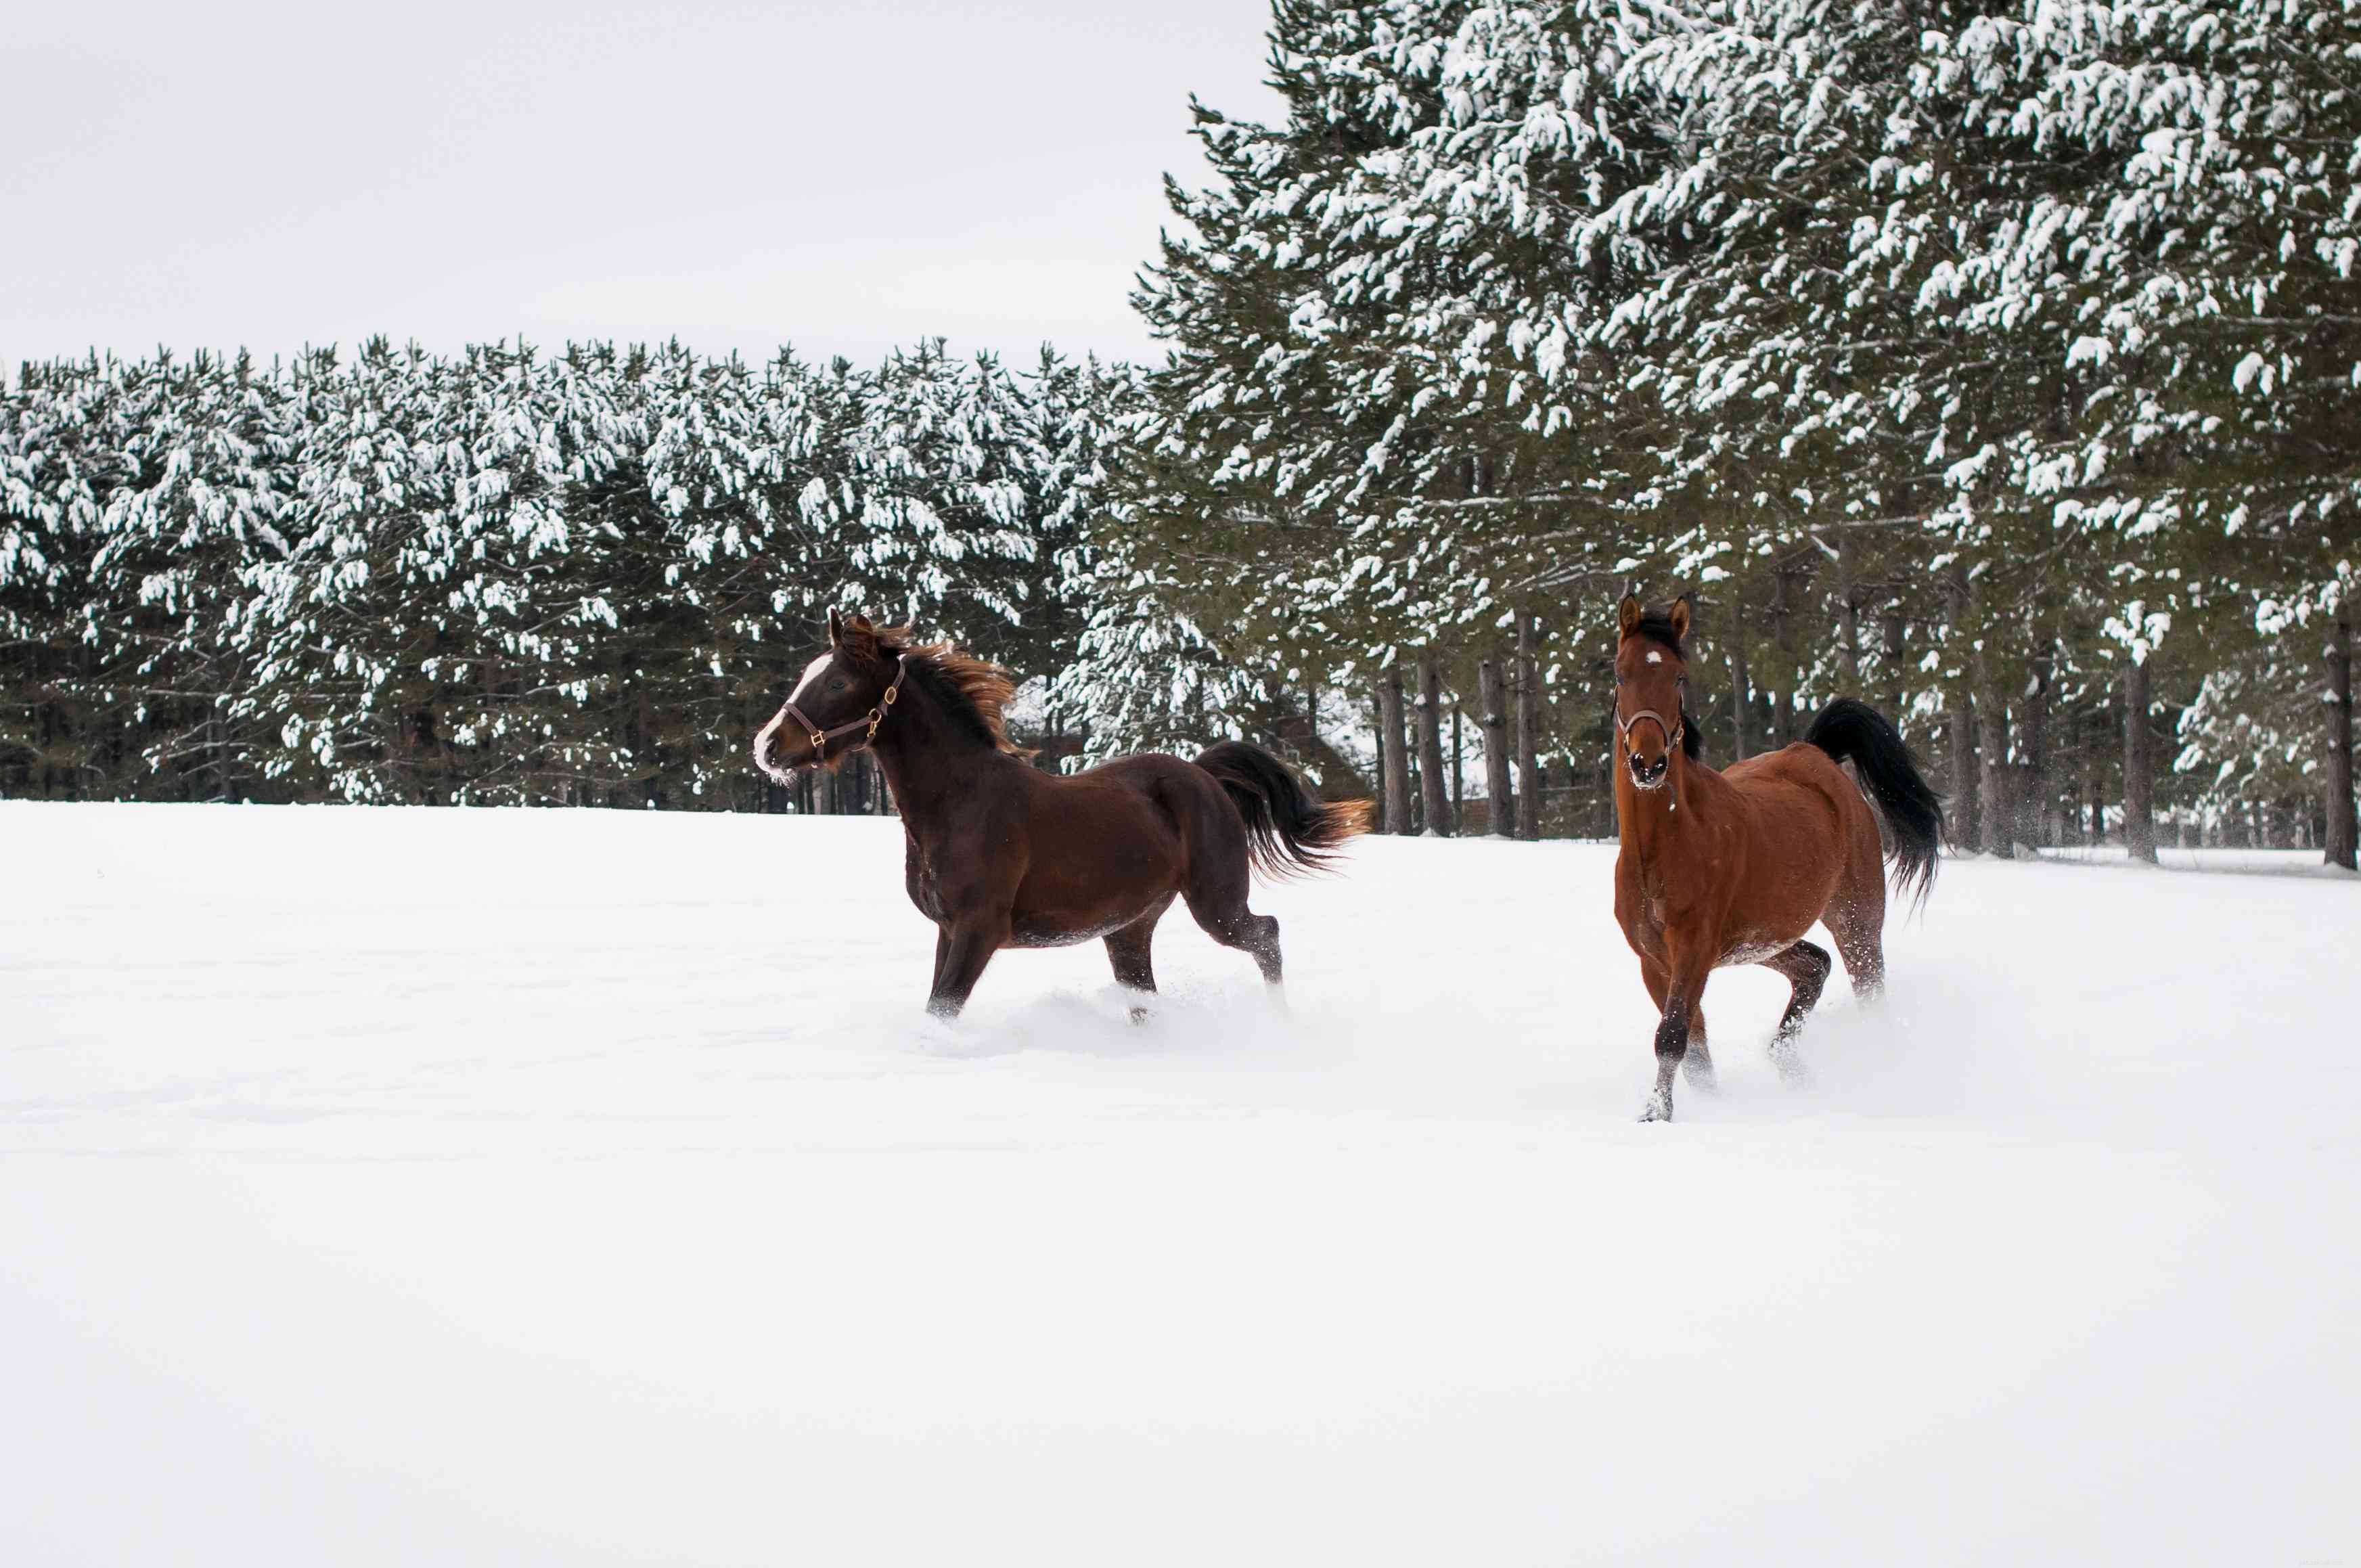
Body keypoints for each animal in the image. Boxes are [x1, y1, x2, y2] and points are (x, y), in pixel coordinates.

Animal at [754, 611, 1372, 1021]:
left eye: (836, 681)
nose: (767, 747)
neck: (959, 803)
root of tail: (1203, 776)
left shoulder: (979, 928)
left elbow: (941, 1010)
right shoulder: (947, 929)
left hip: (1216, 904)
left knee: (1266, 935)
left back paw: (1280, 1021)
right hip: (1129, 927)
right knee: (1143, 993)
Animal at [1609, 595, 1943, 1121]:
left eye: (1679, 678)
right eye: (1621, 673)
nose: (1649, 764)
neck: (1660, 846)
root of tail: (1817, 755)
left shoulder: (1694, 950)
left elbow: (1672, 1038)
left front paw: (1655, 1114)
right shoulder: (1654, 960)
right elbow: (1695, 1052)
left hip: (1856, 922)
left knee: (1868, 990)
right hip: (1764, 939)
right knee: (1814, 967)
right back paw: (1793, 1067)